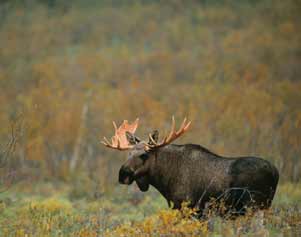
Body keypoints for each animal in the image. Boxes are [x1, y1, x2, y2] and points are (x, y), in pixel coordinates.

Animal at [101, 117, 278, 216]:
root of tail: (276, 173)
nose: (122, 174)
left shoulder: (187, 206)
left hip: (255, 206)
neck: (164, 180)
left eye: (144, 154)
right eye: (128, 153)